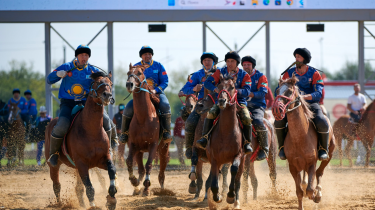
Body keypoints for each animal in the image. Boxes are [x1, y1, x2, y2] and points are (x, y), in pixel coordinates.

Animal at [125, 63, 170, 196]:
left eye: (139, 73)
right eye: (128, 73)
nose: (129, 84)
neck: (143, 118)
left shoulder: (153, 145)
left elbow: (149, 164)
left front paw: (146, 188)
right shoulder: (133, 144)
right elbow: (129, 161)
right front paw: (135, 182)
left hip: (163, 148)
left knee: (162, 169)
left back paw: (161, 188)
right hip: (139, 151)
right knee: (140, 169)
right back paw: (137, 187)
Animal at [207, 74, 245, 209]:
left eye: (232, 87)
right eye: (219, 86)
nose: (222, 101)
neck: (226, 132)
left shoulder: (238, 155)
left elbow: (233, 170)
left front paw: (230, 196)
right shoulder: (214, 159)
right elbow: (214, 181)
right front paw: (217, 197)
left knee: (238, 180)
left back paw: (236, 201)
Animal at [272, 74, 336, 210]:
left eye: (289, 91)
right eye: (277, 91)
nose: (276, 109)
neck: (299, 137)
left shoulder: (312, 163)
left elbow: (310, 189)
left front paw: (314, 195)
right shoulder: (293, 166)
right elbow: (299, 192)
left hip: (329, 155)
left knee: (319, 173)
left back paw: (318, 193)